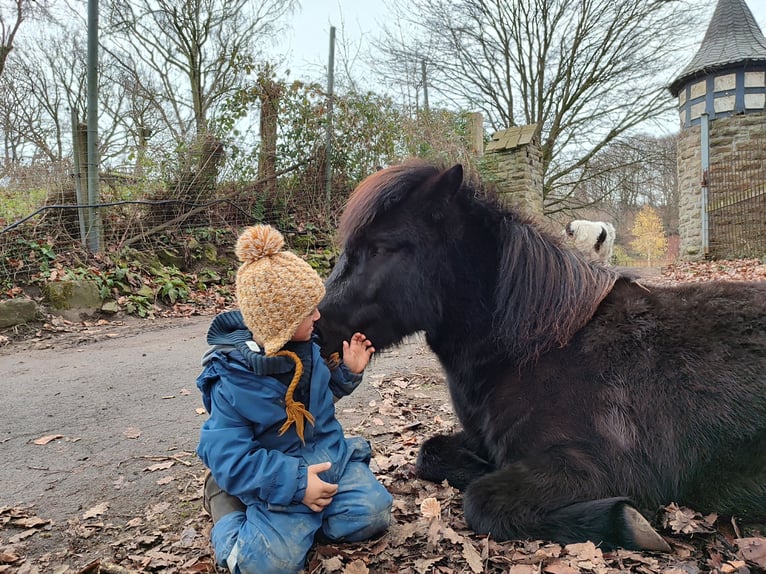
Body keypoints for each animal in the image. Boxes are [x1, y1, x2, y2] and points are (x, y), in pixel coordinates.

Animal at [317, 160, 766, 551]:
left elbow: (482, 500)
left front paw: (628, 523)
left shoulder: (594, 467)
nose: (315, 327)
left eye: (381, 248)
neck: (539, 348)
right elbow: (430, 452)